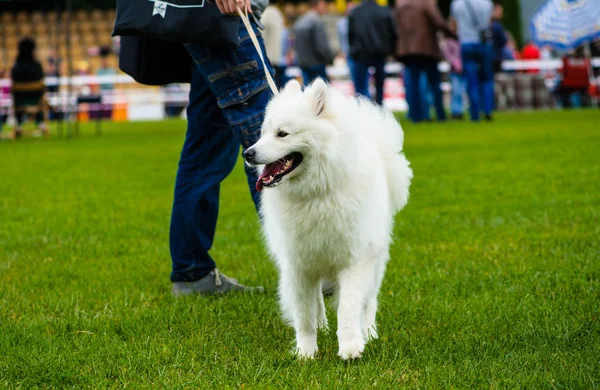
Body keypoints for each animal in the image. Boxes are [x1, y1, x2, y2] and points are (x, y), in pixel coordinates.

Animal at [244, 78, 412, 360]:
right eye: (262, 133)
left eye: (282, 134)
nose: (248, 153)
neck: (316, 194)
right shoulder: (299, 266)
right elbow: (304, 315)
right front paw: (305, 352)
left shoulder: (356, 261)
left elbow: (349, 307)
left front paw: (350, 347)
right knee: (318, 302)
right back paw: (323, 327)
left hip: (375, 261)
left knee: (370, 301)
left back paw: (369, 332)